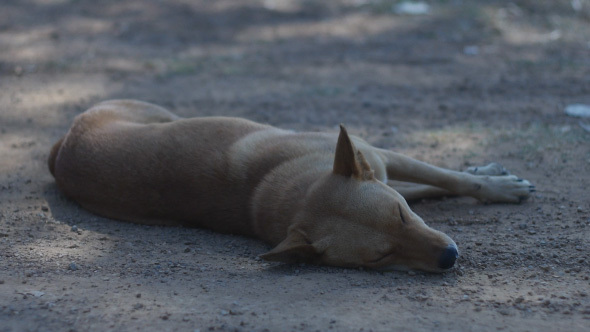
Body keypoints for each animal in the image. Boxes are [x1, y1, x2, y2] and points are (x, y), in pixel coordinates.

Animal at [47, 99, 536, 272]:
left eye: (399, 215)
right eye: (381, 258)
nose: (450, 257)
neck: (301, 187)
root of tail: (60, 148)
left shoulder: (379, 158)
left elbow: (444, 178)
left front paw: (495, 184)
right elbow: (437, 183)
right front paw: (498, 185)